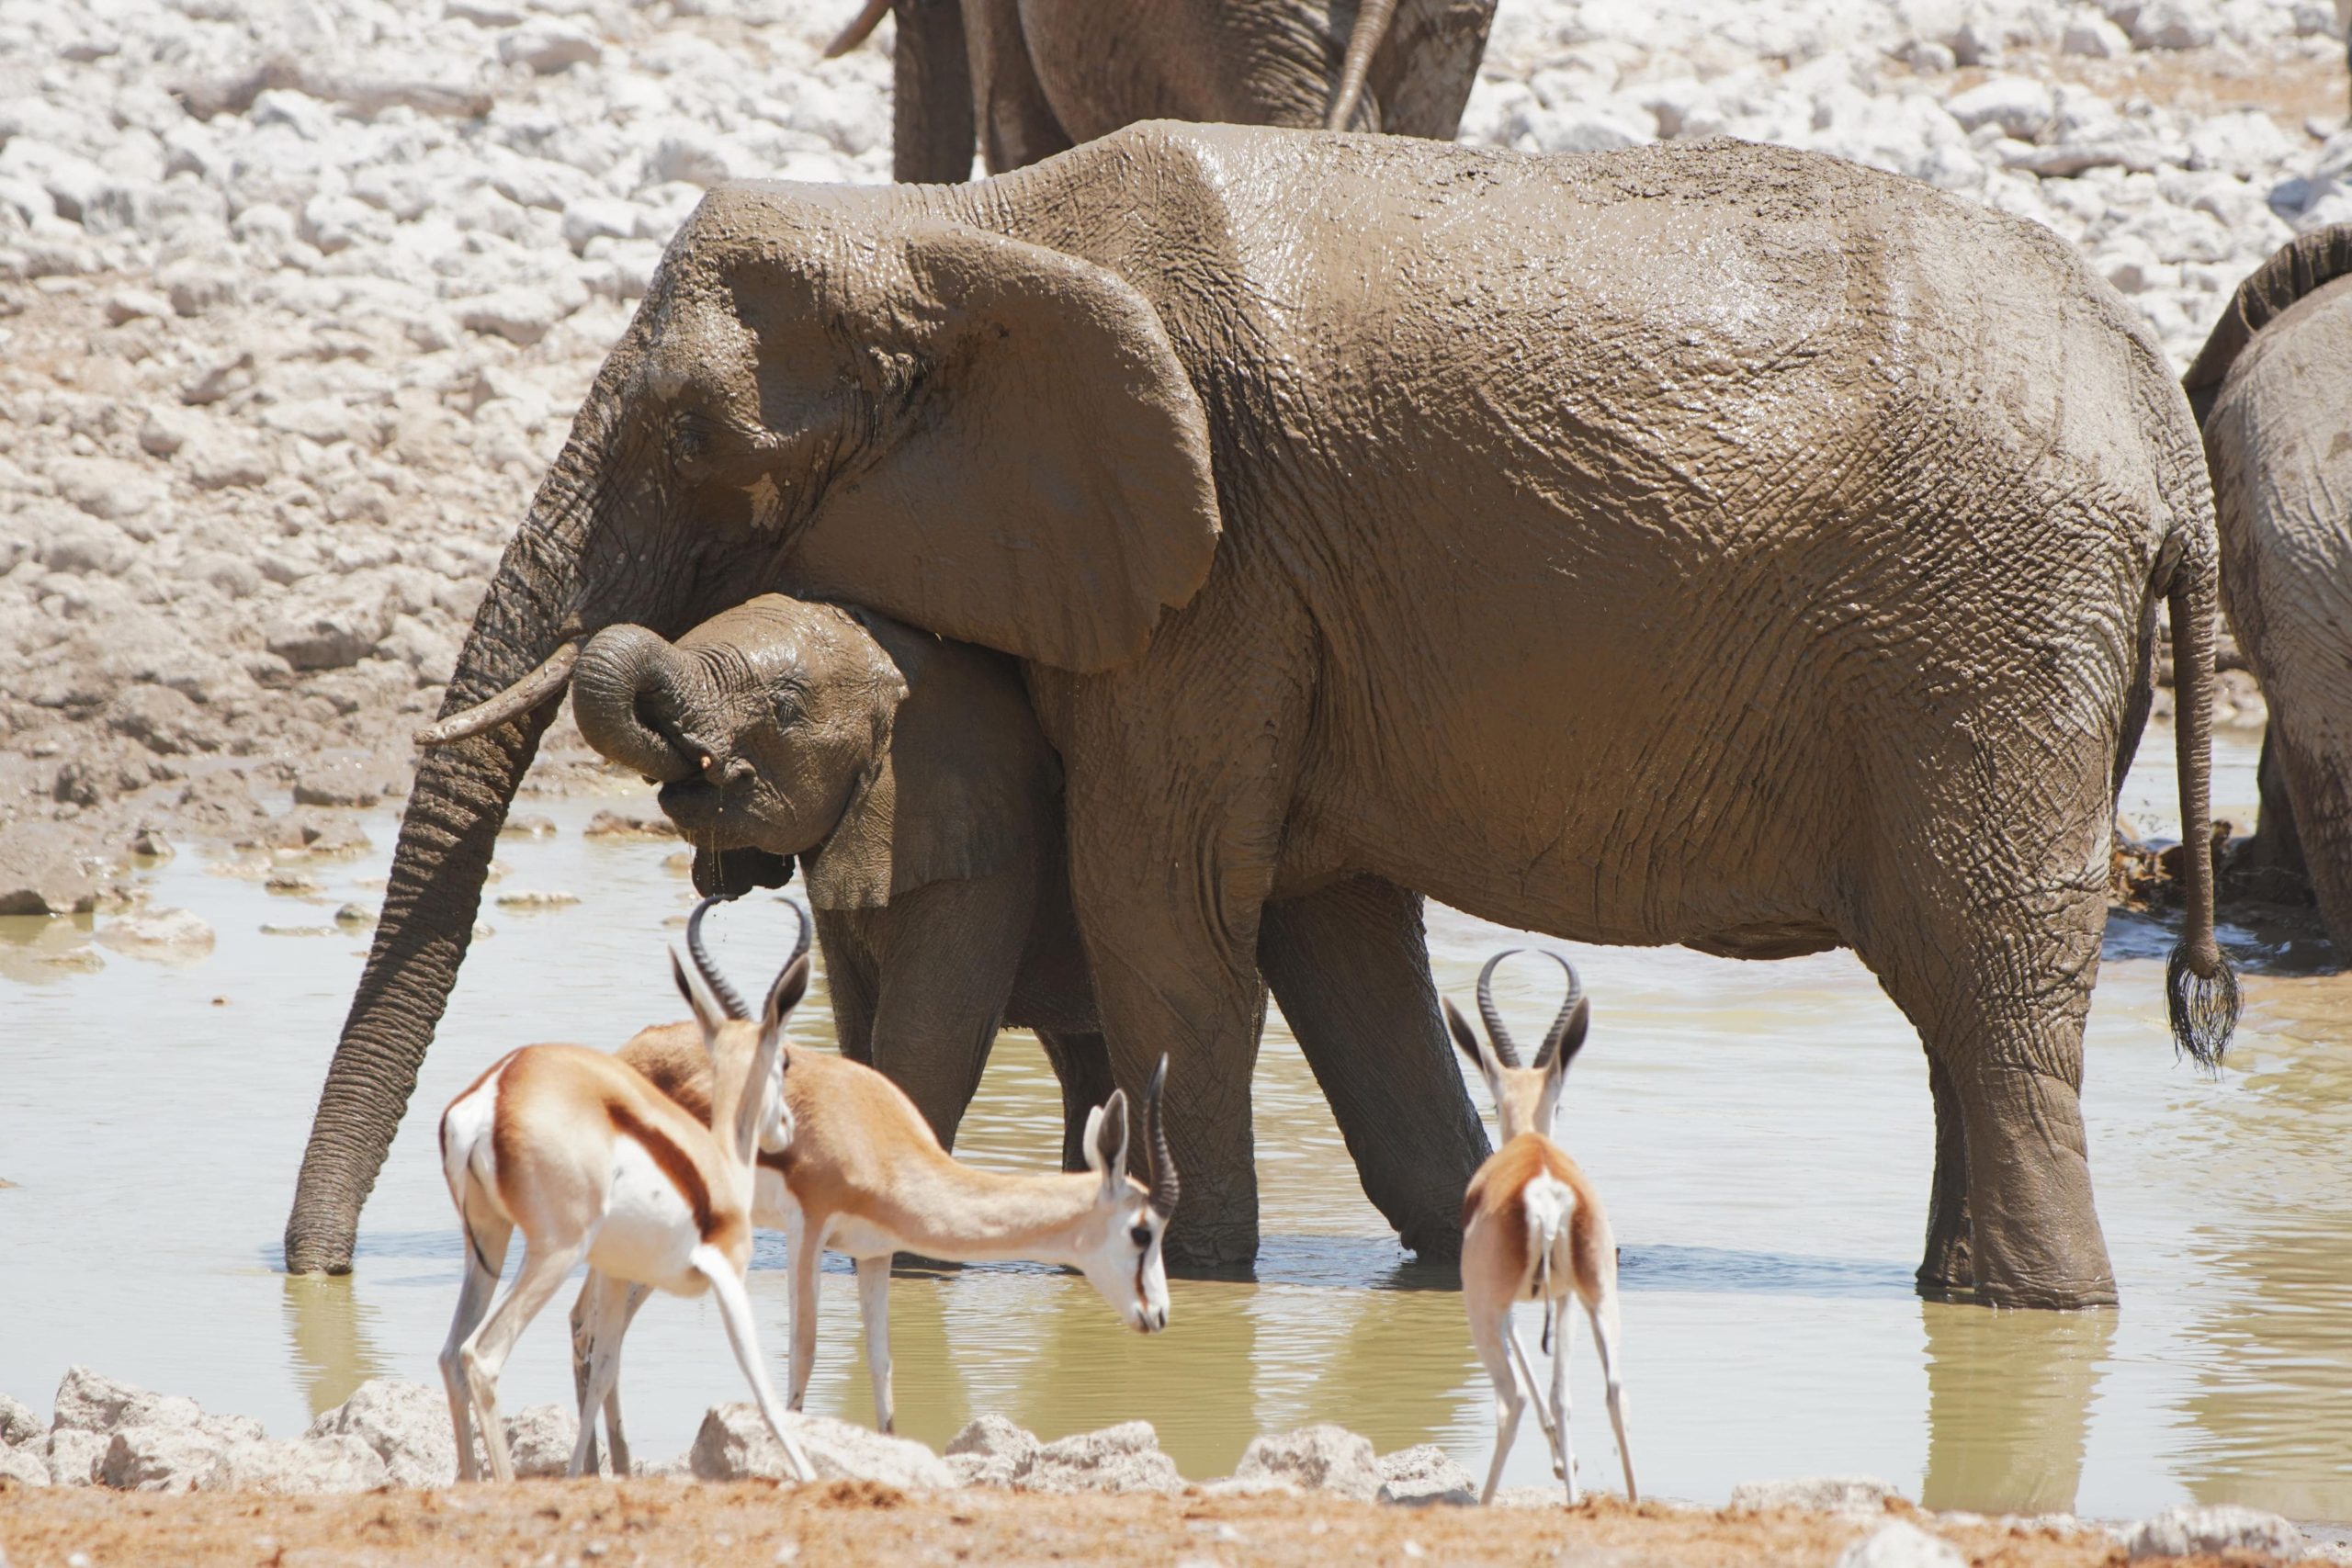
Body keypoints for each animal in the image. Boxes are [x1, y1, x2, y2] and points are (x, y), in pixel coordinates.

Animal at [288, 122, 2239, 1306]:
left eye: (698, 440)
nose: (312, 1271)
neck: (963, 230)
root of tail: (2173, 443)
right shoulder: (1282, 593)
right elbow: (1331, 934)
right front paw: (1441, 1251)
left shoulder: (1216, 564)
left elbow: (1168, 917)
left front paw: (1194, 1265)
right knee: (1970, 1011)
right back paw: (1963, 1300)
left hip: (1987, 643)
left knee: (1986, 982)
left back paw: (2035, 1308)